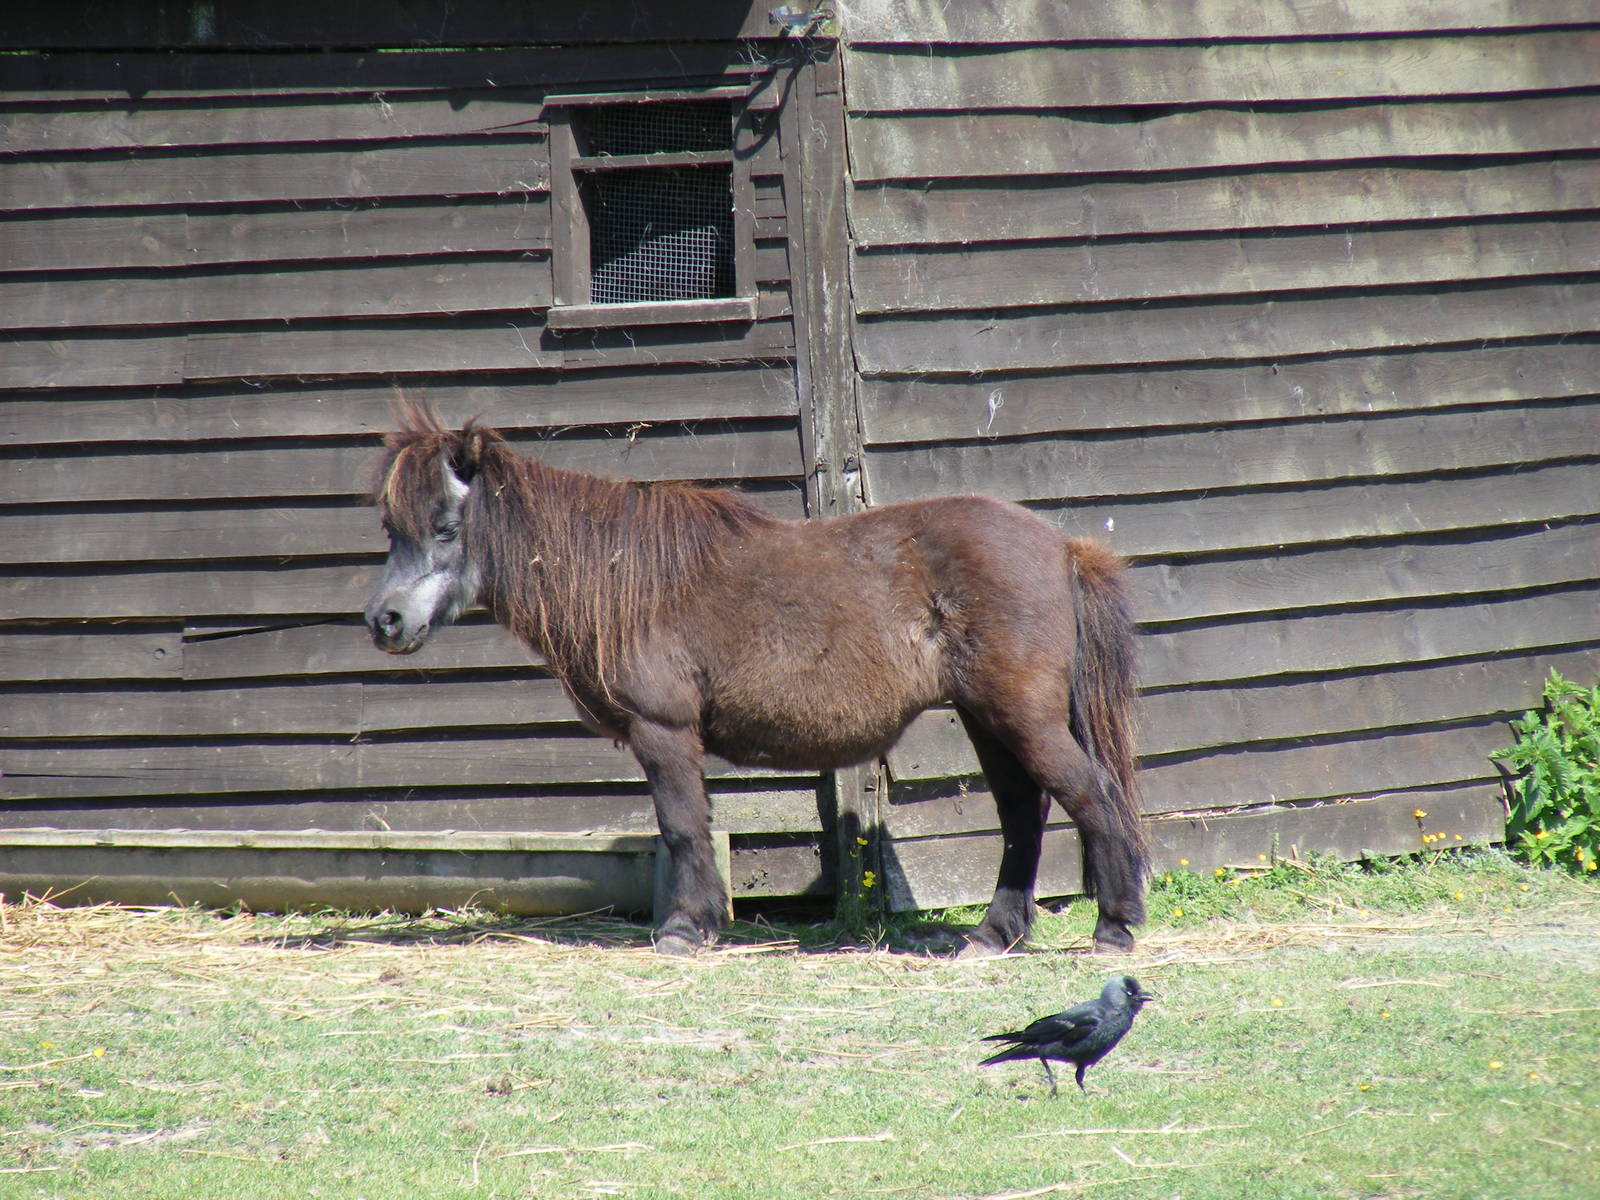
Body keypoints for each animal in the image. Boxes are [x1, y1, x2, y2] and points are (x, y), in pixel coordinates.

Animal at [364, 405, 1147, 955]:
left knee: (1090, 795)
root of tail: (1060, 546)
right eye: (391, 530)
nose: (384, 620)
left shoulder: (663, 731)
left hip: (1023, 716)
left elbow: (683, 827)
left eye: (444, 528)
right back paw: (993, 934)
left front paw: (686, 929)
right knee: (1023, 813)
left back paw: (1115, 927)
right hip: (989, 718)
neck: (626, 581)